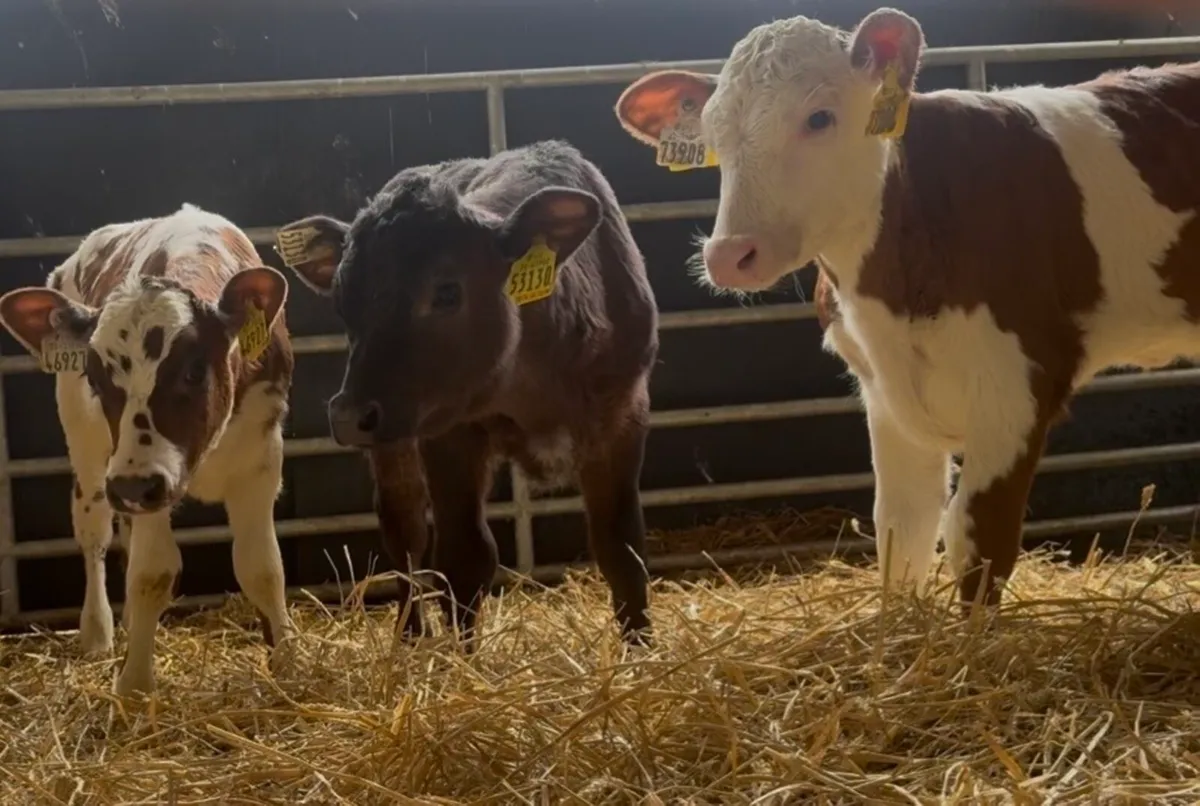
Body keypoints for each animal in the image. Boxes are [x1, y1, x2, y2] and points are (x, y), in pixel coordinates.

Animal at [0, 203, 296, 696]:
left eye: (194, 371)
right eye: (96, 377)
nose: (133, 488)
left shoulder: (261, 457)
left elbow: (262, 567)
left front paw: (287, 663)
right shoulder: (141, 478)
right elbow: (152, 572)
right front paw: (134, 683)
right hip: (90, 451)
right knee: (95, 533)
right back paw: (98, 633)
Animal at [274, 140, 658, 648]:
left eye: (447, 292)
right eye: (341, 302)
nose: (348, 416)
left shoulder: (622, 416)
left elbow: (622, 546)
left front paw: (641, 648)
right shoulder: (450, 434)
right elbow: (464, 557)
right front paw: (463, 657)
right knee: (405, 532)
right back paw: (410, 637)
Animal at [614, 7, 1200, 608]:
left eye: (819, 118)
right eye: (714, 134)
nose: (730, 255)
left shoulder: (1018, 384)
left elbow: (978, 538)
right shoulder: (884, 392)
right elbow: (902, 528)